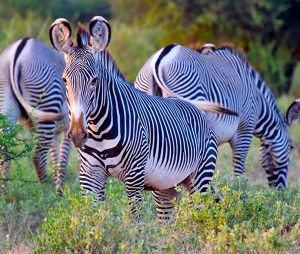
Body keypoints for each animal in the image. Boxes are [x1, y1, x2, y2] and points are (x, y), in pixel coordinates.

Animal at [0, 37, 71, 193]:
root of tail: (17, 52)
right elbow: (63, 162)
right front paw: (59, 192)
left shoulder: (57, 132)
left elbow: (56, 160)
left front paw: (58, 189)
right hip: (47, 103)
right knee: (38, 157)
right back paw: (46, 192)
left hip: (6, 109)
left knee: (4, 152)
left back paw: (4, 191)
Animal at [48, 16, 238, 220]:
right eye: (64, 80)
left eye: (94, 80)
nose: (77, 134)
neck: (99, 131)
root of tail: (194, 108)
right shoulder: (89, 176)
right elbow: (90, 220)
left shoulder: (134, 176)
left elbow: (135, 221)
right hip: (168, 185)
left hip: (200, 176)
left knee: (202, 214)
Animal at [135, 43, 300, 190]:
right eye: (291, 147)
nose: (279, 190)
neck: (258, 104)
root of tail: (159, 59)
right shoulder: (244, 131)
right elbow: (239, 171)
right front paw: (239, 196)